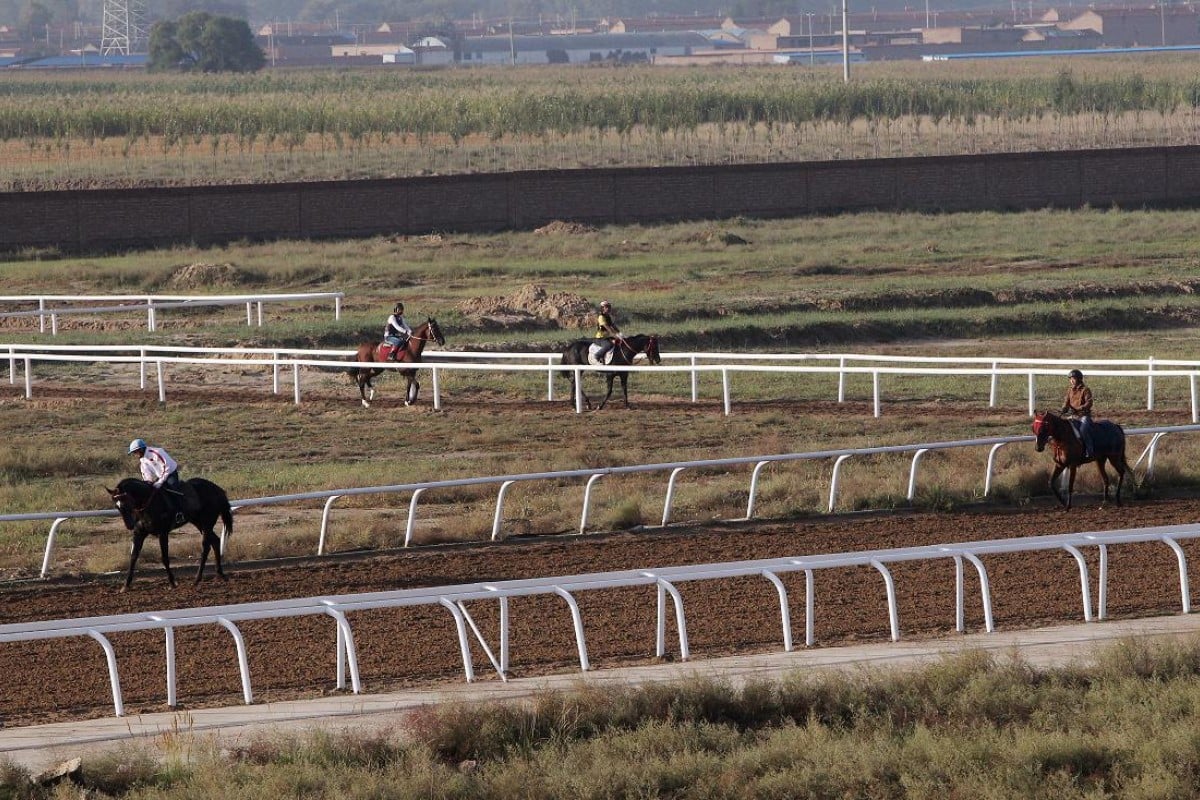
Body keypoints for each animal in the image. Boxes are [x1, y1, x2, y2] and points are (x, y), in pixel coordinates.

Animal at [105, 479, 234, 592]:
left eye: (126, 502)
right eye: (117, 506)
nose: (129, 525)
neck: (148, 504)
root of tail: (217, 489)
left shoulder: (163, 533)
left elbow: (164, 558)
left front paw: (172, 583)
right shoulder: (139, 533)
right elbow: (133, 557)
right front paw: (125, 585)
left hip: (207, 522)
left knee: (206, 547)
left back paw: (197, 579)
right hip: (199, 522)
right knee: (215, 541)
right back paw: (220, 574)